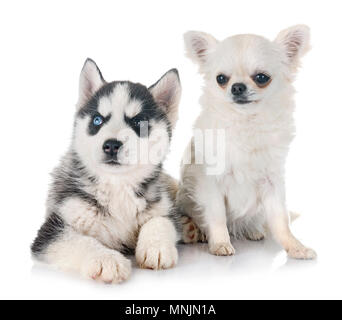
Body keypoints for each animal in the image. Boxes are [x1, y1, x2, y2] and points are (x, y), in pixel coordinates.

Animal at [31, 59, 182, 282]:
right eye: (97, 120)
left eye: (139, 122)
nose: (111, 145)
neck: (118, 186)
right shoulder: (51, 230)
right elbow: (79, 241)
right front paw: (107, 259)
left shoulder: (163, 208)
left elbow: (160, 221)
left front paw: (156, 247)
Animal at [178, 25, 316, 260]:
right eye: (221, 79)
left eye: (261, 78)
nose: (237, 87)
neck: (245, 123)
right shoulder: (211, 183)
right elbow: (217, 215)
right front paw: (220, 243)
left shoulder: (272, 183)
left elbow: (281, 220)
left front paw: (295, 246)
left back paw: (253, 230)